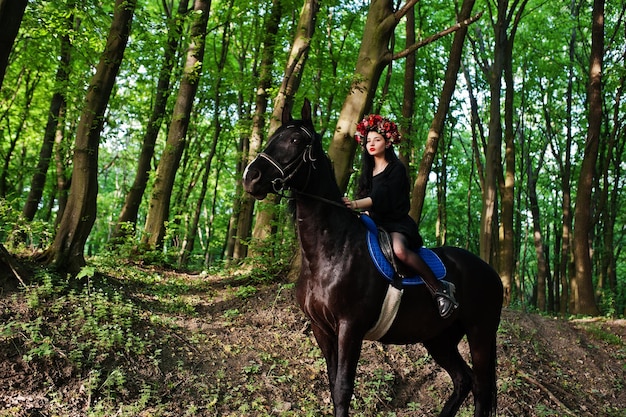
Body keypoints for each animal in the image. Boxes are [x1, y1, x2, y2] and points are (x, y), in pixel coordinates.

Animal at [241, 99, 504, 414]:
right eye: (273, 138)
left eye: (294, 140)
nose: (251, 177)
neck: (331, 252)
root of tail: (492, 273)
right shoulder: (321, 329)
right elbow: (333, 384)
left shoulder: (350, 327)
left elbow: (343, 388)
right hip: (439, 339)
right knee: (463, 380)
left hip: (480, 333)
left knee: (481, 387)